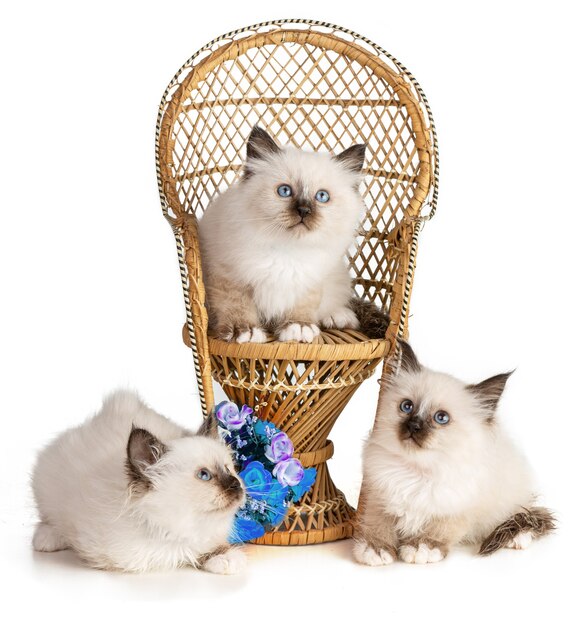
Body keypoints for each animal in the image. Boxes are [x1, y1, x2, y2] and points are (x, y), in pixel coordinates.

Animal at [32, 390, 245, 572]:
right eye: (204, 475)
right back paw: (45, 540)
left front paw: (225, 559)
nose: (236, 484)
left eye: (229, 469)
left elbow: (207, 548)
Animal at [199, 124, 388, 344]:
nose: (303, 211)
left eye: (322, 196)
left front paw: (299, 327)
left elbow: (303, 306)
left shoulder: (309, 280)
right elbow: (237, 305)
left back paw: (339, 317)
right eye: (284, 191)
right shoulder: (228, 276)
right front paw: (245, 331)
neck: (287, 248)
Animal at [352, 342, 552, 564]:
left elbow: (439, 530)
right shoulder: (377, 496)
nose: (413, 426)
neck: (417, 471)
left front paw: (421, 548)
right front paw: (376, 549)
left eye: (441, 418)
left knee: (522, 515)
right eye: (407, 406)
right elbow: (378, 526)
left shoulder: (458, 508)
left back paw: (517, 538)